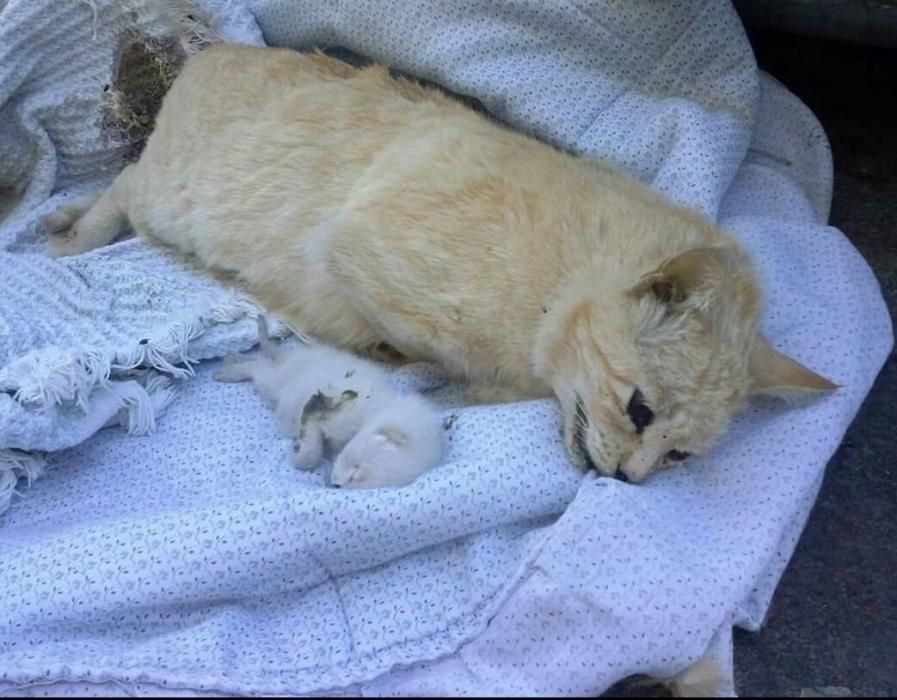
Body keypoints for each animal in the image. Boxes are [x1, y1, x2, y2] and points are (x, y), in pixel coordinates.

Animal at [42, 42, 836, 482]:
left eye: (681, 457)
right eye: (639, 411)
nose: (632, 481)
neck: (559, 283)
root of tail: (217, 50)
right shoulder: (356, 252)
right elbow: (426, 353)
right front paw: (432, 375)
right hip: (166, 197)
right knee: (120, 185)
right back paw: (68, 234)